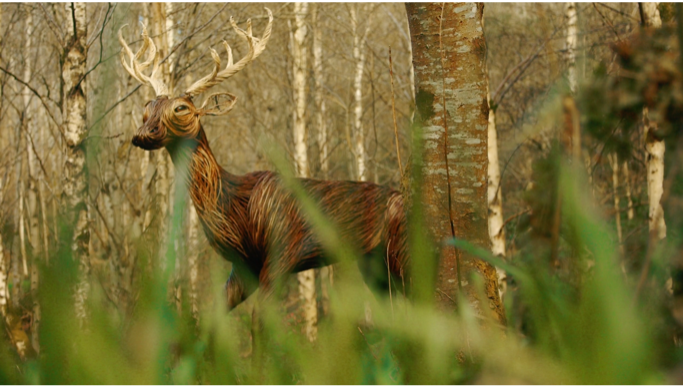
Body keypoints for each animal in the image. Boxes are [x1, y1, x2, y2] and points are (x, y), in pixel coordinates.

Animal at [118, 8, 408, 316]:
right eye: (148, 107)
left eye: (181, 108)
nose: (143, 134)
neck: (234, 208)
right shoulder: (244, 266)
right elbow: (211, 318)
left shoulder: (283, 250)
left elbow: (262, 318)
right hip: (373, 263)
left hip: (400, 251)